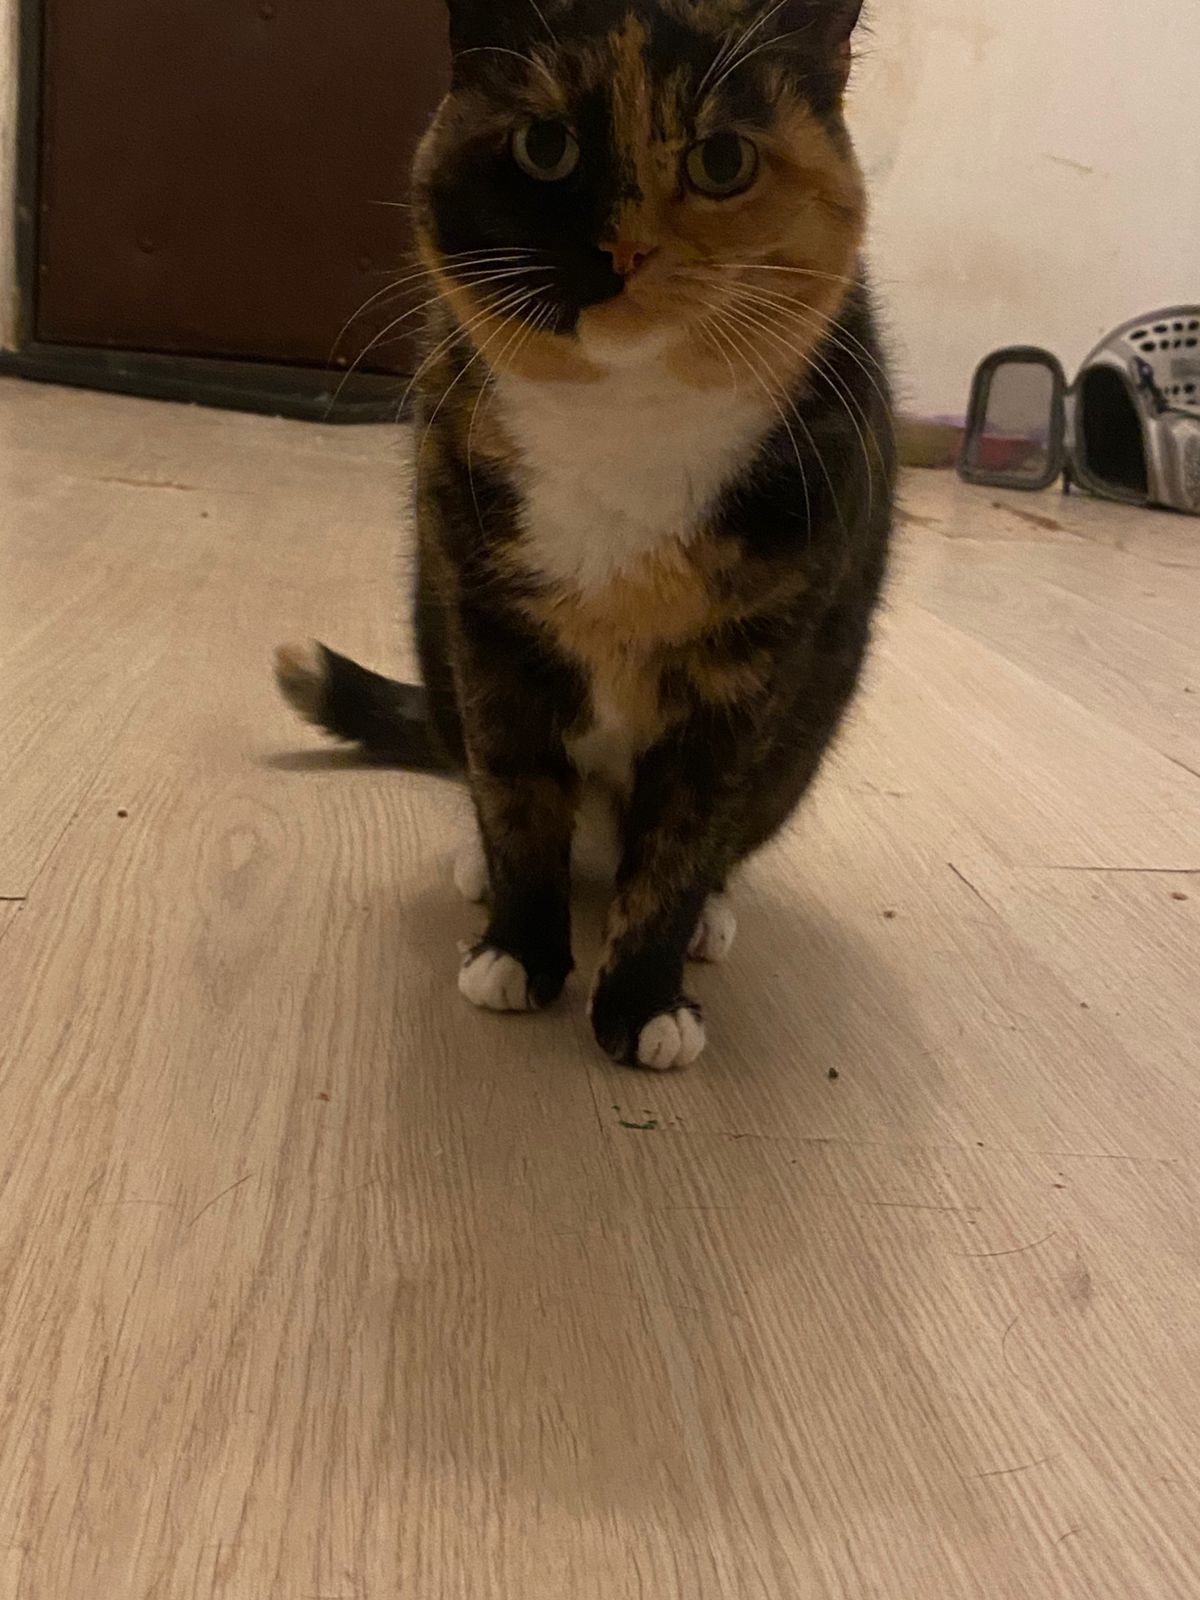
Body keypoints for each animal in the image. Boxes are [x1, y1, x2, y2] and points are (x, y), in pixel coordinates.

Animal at [277, 0, 895, 1071]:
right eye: (545, 146)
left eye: (723, 160)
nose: (624, 252)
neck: (624, 424)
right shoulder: (488, 633)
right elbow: (518, 801)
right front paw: (520, 952)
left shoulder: (745, 677)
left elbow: (685, 839)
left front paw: (645, 1002)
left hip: (802, 734)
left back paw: (707, 921)